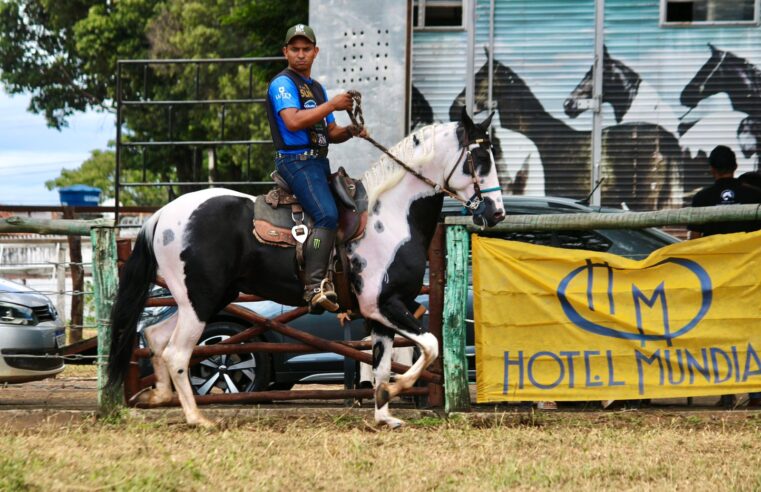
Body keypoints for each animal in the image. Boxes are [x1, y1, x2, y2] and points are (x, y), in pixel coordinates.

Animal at [106, 111, 505, 428]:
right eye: (479, 157)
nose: (496, 212)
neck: (390, 214)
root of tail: (162, 215)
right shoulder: (383, 304)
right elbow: (430, 346)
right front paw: (395, 390)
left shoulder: (380, 313)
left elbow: (380, 364)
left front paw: (383, 414)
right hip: (202, 300)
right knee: (177, 353)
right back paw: (197, 418)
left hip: (200, 299)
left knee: (156, 337)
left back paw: (157, 396)